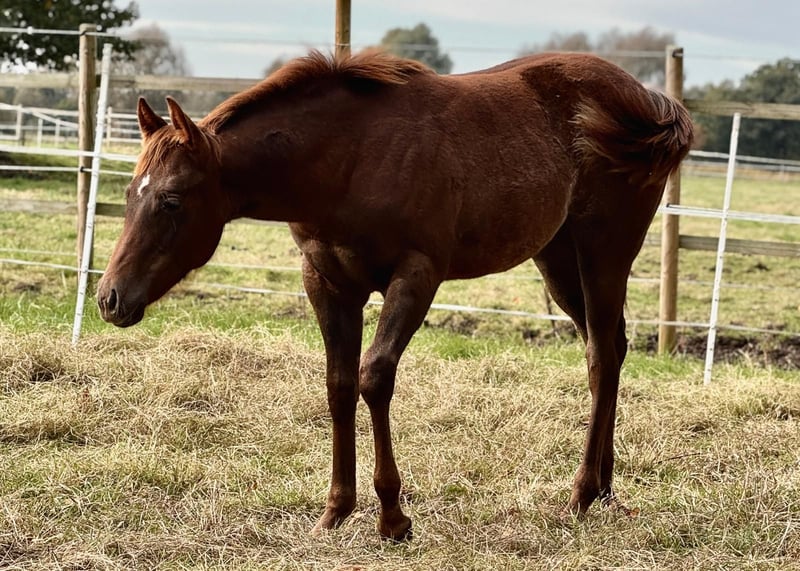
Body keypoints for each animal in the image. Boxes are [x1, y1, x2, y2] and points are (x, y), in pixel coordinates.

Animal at [97, 50, 693, 540]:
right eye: (129, 195)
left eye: (171, 200)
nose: (109, 298)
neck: (347, 158)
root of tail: (645, 100)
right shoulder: (328, 283)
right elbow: (339, 386)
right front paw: (336, 510)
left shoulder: (416, 277)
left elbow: (374, 378)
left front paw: (392, 517)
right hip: (558, 259)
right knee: (610, 349)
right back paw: (607, 490)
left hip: (602, 253)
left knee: (601, 357)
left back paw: (580, 493)